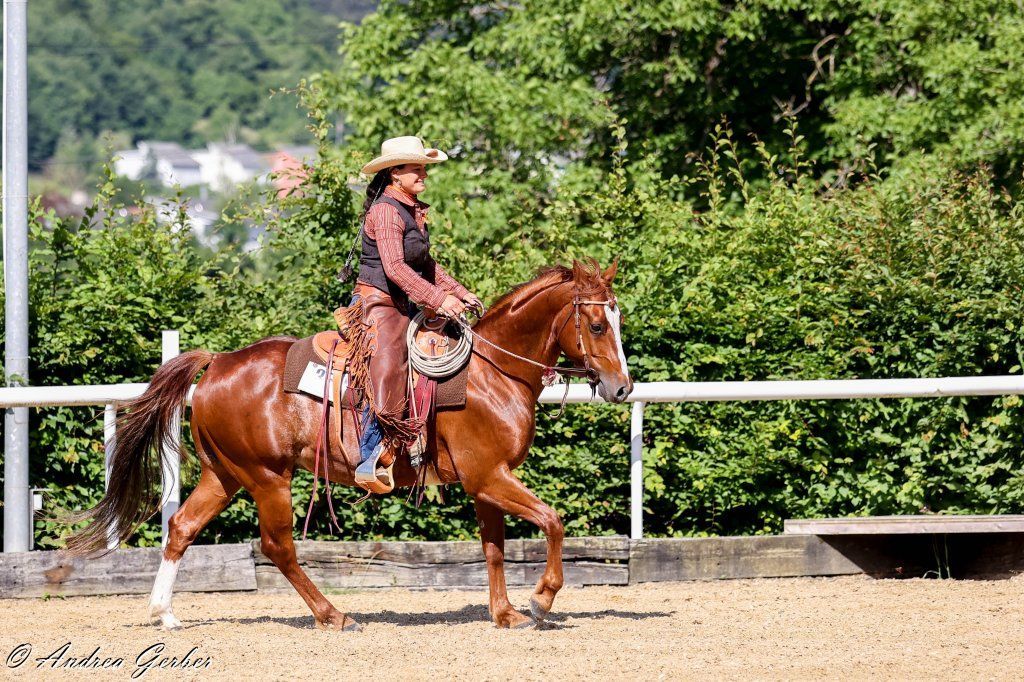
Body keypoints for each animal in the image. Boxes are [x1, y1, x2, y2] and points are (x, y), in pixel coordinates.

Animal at [66, 258, 633, 631]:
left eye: (617, 320)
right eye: (597, 324)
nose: (622, 387)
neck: (492, 374)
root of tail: (219, 362)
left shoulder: (485, 483)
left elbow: (493, 548)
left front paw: (506, 613)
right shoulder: (490, 476)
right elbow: (553, 521)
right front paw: (541, 600)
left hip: (224, 475)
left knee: (181, 527)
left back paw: (165, 614)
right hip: (267, 478)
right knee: (278, 546)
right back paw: (333, 615)